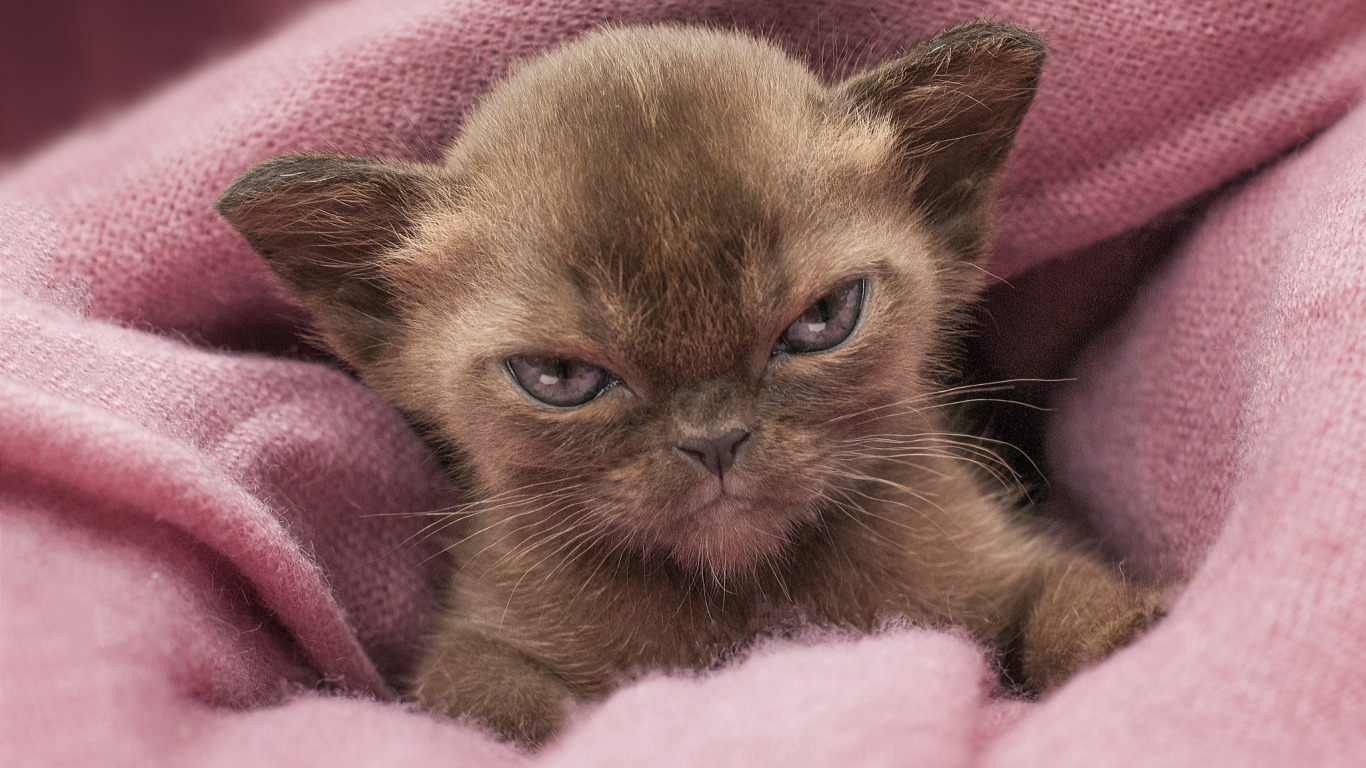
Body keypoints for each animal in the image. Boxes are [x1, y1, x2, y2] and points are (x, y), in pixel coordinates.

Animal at [213, 22, 1163, 743]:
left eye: (824, 319)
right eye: (561, 376)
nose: (715, 442)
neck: (746, 598)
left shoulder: (1004, 563)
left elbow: (1072, 595)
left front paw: (1132, 641)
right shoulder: (468, 644)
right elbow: (503, 701)